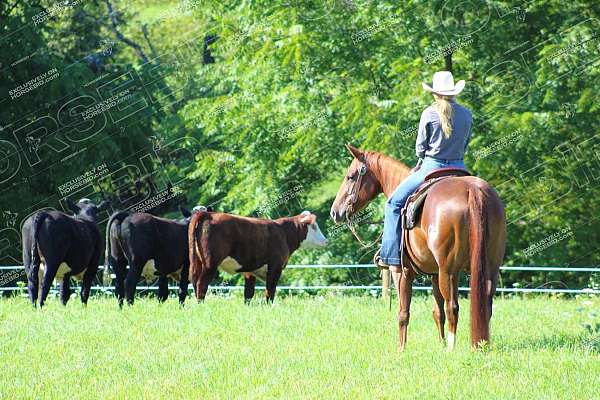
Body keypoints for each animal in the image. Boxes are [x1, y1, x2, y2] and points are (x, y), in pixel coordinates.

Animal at [330, 146, 504, 350]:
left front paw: (401, 349)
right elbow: (437, 312)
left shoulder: (402, 272)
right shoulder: (435, 274)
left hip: (449, 272)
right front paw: (440, 343)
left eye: (350, 176)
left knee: (452, 306)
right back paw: (481, 345)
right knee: (484, 305)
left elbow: (403, 313)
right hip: (488, 269)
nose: (335, 212)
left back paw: (451, 349)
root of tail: (472, 190)